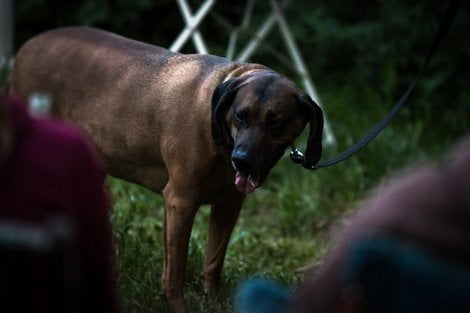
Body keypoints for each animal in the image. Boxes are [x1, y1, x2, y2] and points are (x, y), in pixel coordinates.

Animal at [10, 26, 324, 312]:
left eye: (276, 122)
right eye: (240, 115)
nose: (242, 159)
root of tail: (27, 46)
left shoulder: (229, 205)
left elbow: (213, 261)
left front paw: (214, 301)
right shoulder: (180, 202)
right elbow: (176, 272)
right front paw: (178, 307)